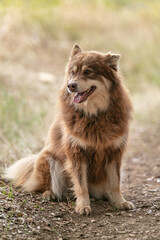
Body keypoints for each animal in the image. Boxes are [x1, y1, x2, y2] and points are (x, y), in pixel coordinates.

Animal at [4, 44, 134, 215]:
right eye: (72, 72)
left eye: (88, 72)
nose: (71, 85)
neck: (94, 115)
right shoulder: (76, 152)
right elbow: (81, 184)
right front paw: (83, 205)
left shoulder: (114, 152)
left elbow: (115, 182)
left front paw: (120, 202)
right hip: (48, 159)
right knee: (44, 186)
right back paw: (50, 194)